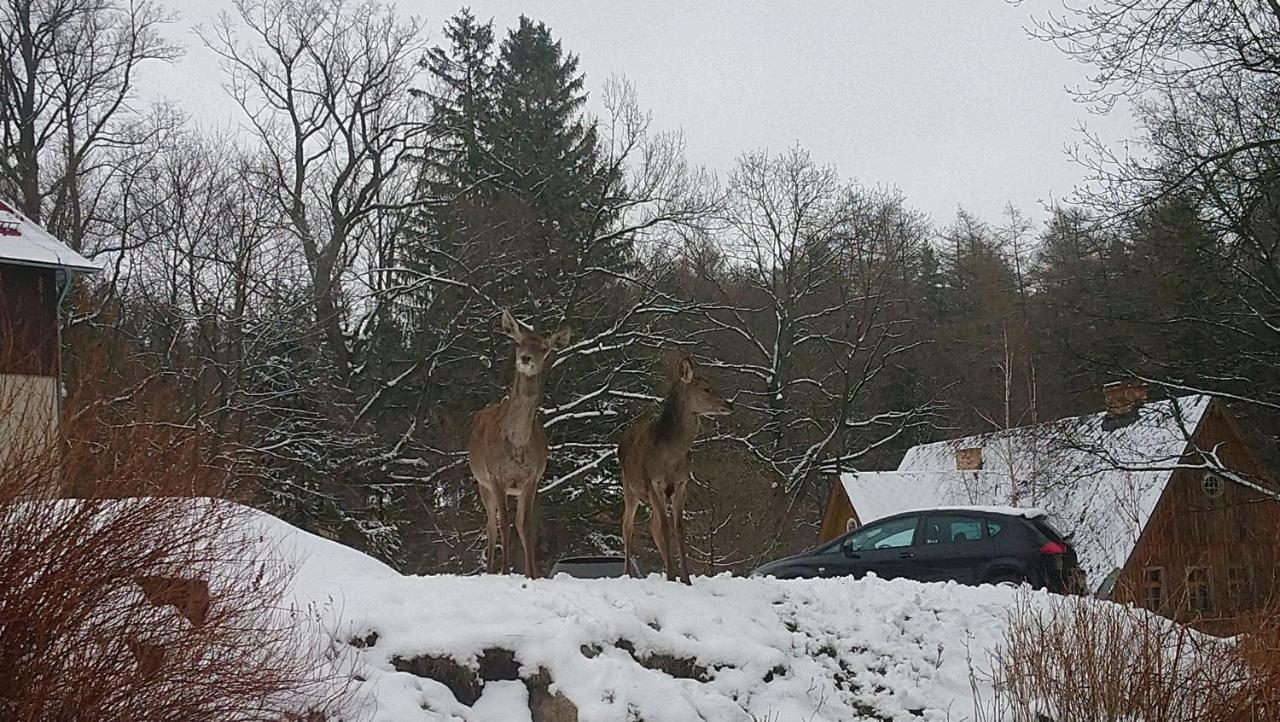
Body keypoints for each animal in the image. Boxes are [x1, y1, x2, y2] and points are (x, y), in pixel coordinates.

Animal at [468, 308, 573, 576]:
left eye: (545, 348)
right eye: (517, 342)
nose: (526, 358)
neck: (517, 444)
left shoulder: (532, 477)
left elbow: (524, 525)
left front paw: (532, 574)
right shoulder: (495, 475)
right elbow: (504, 524)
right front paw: (505, 571)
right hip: (482, 482)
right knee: (491, 525)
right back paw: (490, 570)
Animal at [616, 350, 732, 581]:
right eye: (706, 389)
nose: (730, 404)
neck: (670, 455)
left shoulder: (681, 485)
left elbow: (678, 529)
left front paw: (685, 579)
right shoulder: (655, 483)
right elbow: (665, 527)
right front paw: (671, 576)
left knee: (652, 526)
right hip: (630, 488)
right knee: (628, 526)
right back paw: (627, 575)